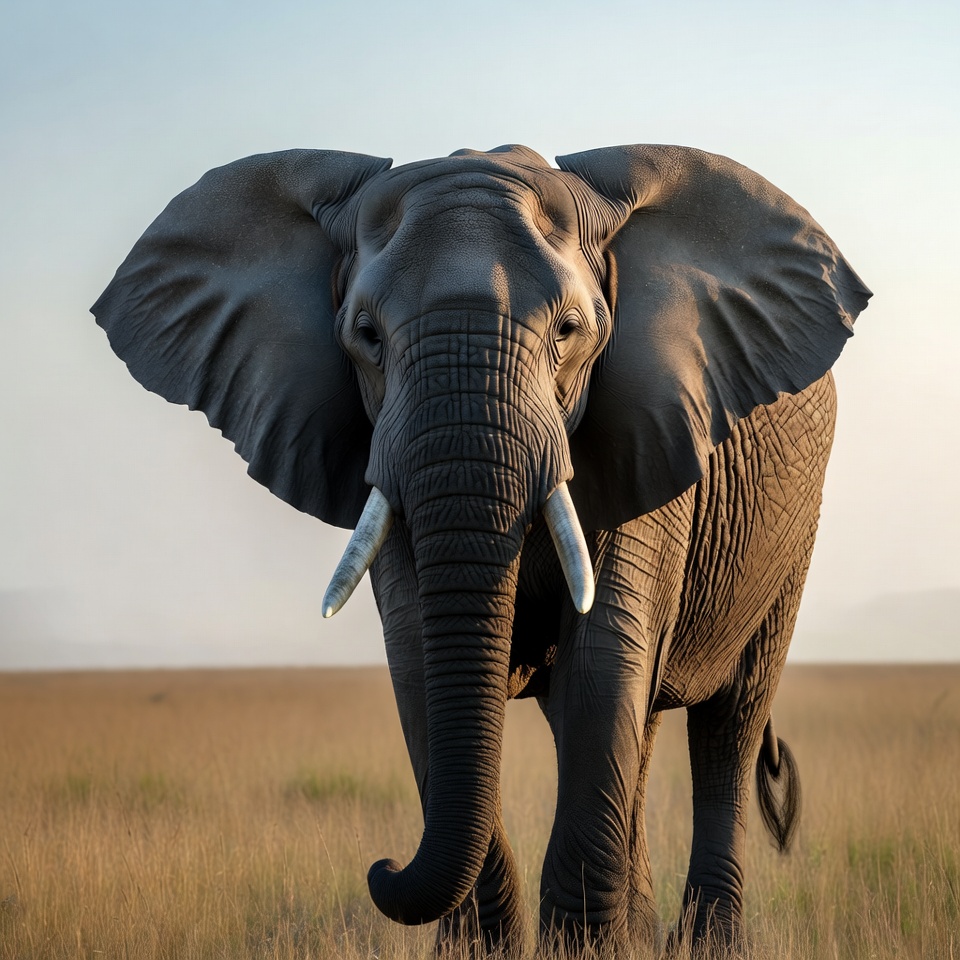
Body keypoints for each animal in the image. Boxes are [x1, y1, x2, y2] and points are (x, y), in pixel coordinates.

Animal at [92, 143, 870, 957]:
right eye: (365, 334)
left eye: (569, 331)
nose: (382, 868)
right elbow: (420, 665)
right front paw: (488, 951)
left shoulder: (647, 432)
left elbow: (601, 665)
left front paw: (580, 952)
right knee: (644, 727)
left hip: (794, 530)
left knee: (729, 723)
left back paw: (706, 941)